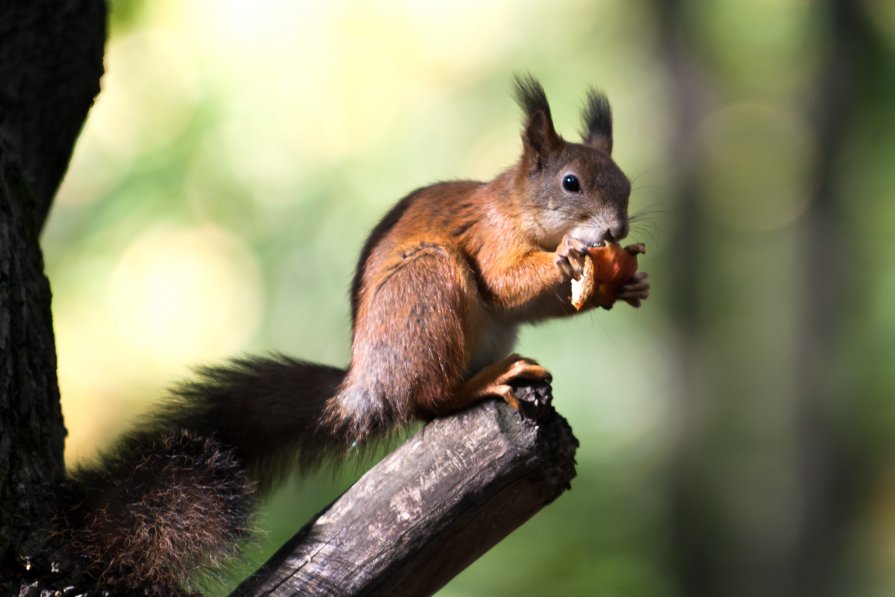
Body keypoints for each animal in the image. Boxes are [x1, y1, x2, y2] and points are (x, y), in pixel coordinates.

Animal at [54, 77, 652, 592]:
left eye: (625, 185)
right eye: (571, 183)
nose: (616, 231)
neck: (520, 208)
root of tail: (366, 386)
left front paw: (625, 282)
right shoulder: (490, 239)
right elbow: (504, 285)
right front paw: (570, 255)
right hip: (428, 285)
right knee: (429, 400)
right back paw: (482, 382)